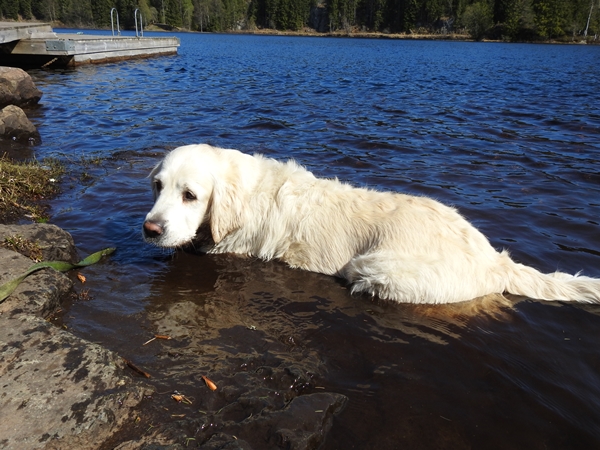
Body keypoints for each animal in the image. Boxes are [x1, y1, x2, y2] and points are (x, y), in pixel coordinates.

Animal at [142, 144, 600, 306]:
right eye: (158, 186)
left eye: (190, 195)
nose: (150, 229)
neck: (244, 191)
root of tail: (495, 260)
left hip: (374, 269)